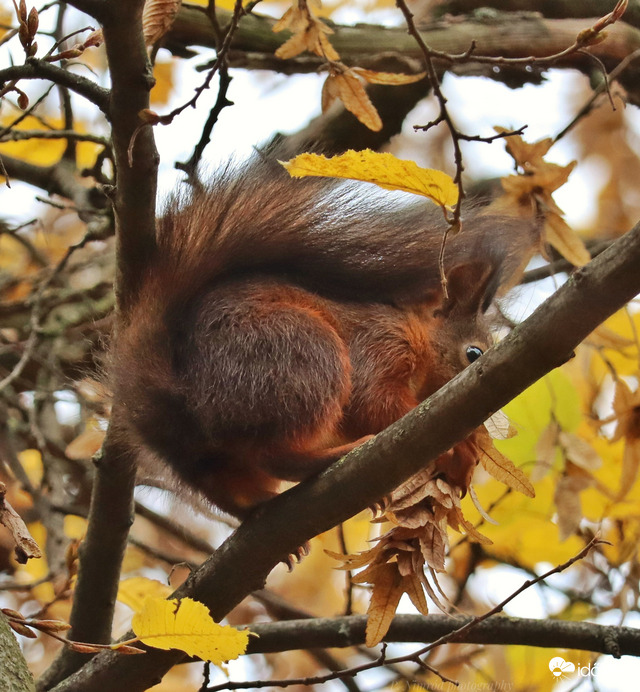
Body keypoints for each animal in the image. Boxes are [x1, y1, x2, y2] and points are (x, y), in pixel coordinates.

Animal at [112, 154, 532, 516]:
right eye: (474, 353)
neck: (414, 330)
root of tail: (187, 399)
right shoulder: (378, 344)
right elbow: (374, 403)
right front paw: (459, 449)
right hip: (303, 354)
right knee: (276, 454)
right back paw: (328, 458)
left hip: (212, 454)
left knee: (223, 483)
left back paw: (254, 509)